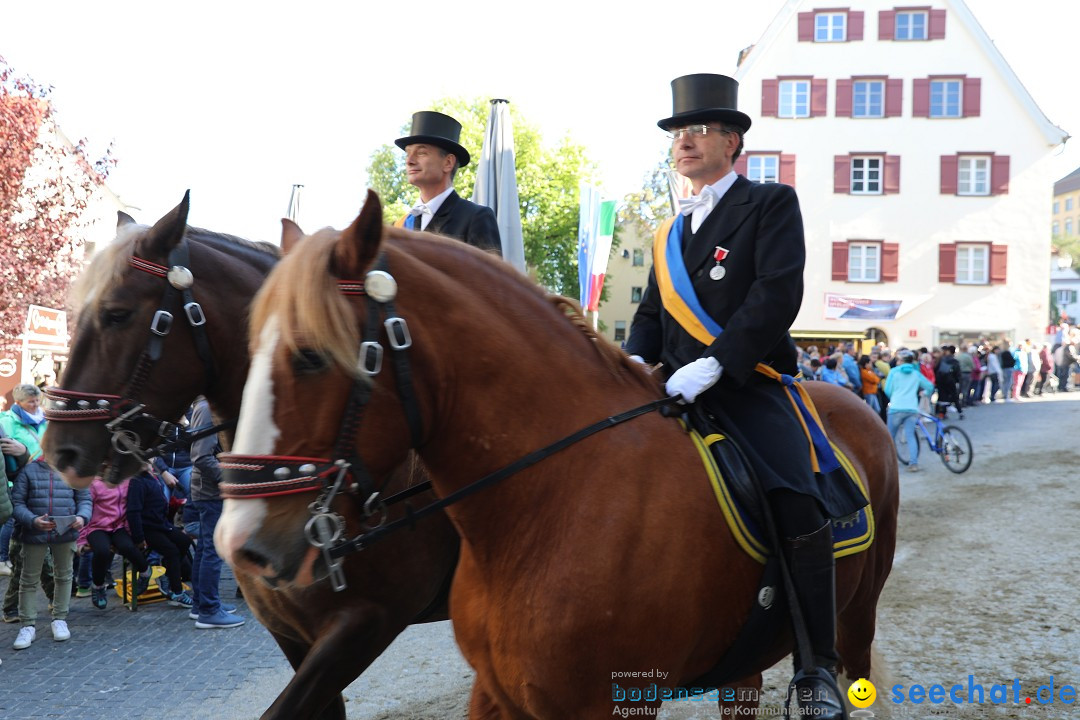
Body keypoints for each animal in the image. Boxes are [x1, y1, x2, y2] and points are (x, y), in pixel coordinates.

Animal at [214, 191, 898, 720]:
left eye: (310, 355)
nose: (238, 543)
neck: (549, 502)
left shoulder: (610, 702)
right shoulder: (495, 692)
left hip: (856, 616)